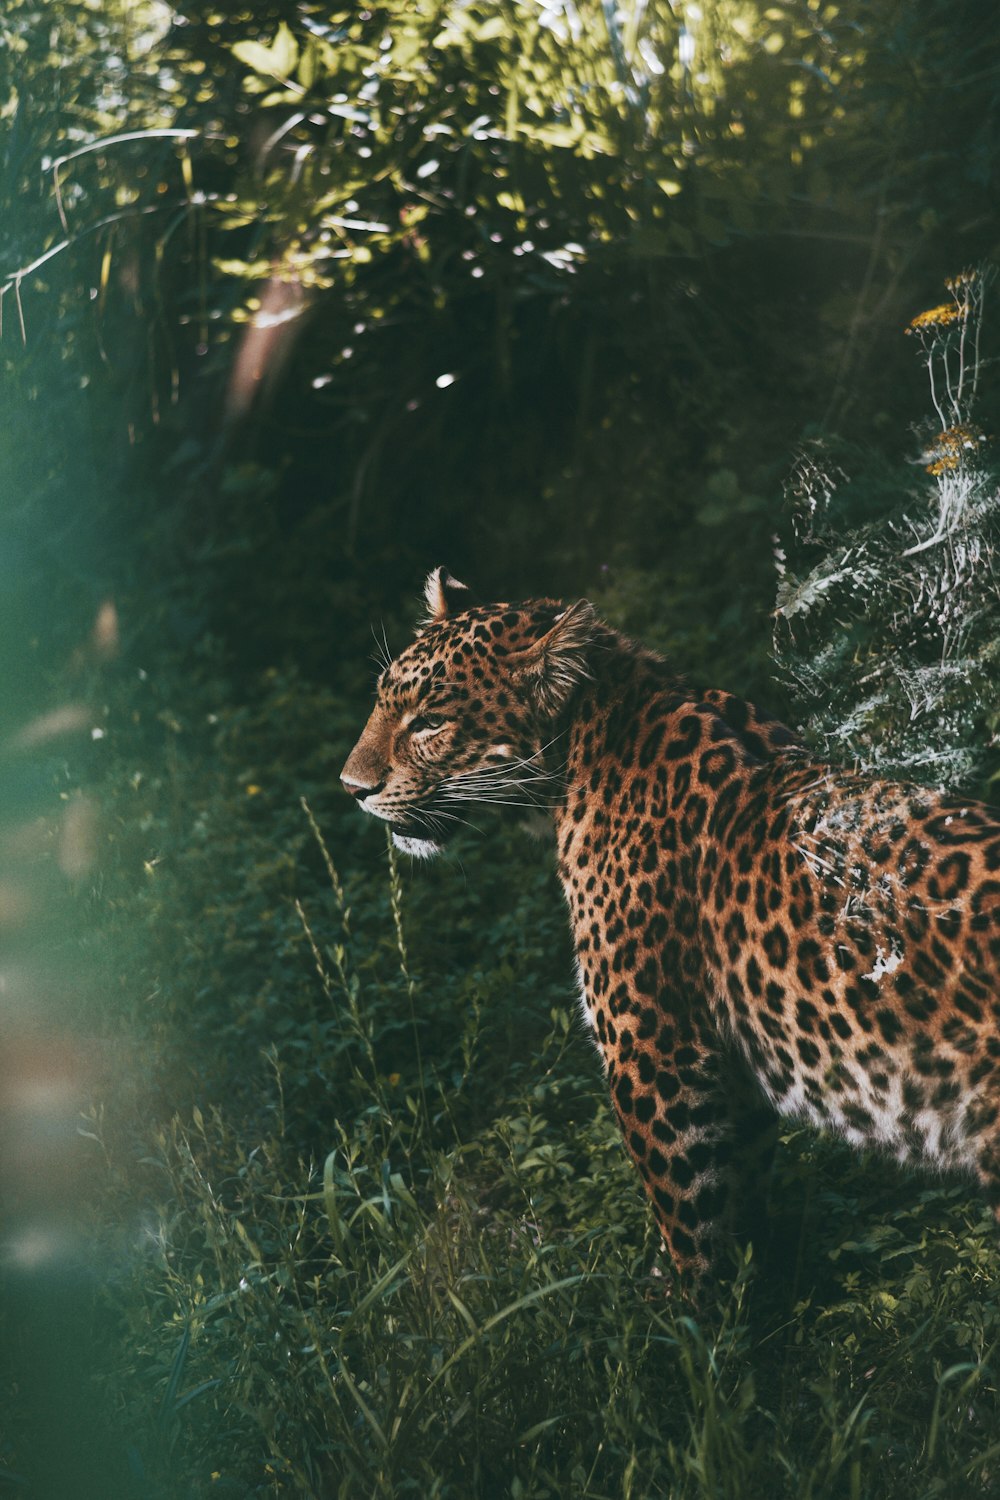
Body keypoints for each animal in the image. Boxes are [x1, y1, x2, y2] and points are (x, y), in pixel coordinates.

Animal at [341, 567, 1000, 1284]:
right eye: (382, 702)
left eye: (430, 722)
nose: (350, 788)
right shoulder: (734, 1066)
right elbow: (743, 1205)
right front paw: (755, 1289)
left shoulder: (656, 1052)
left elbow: (688, 1218)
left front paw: (683, 1308)